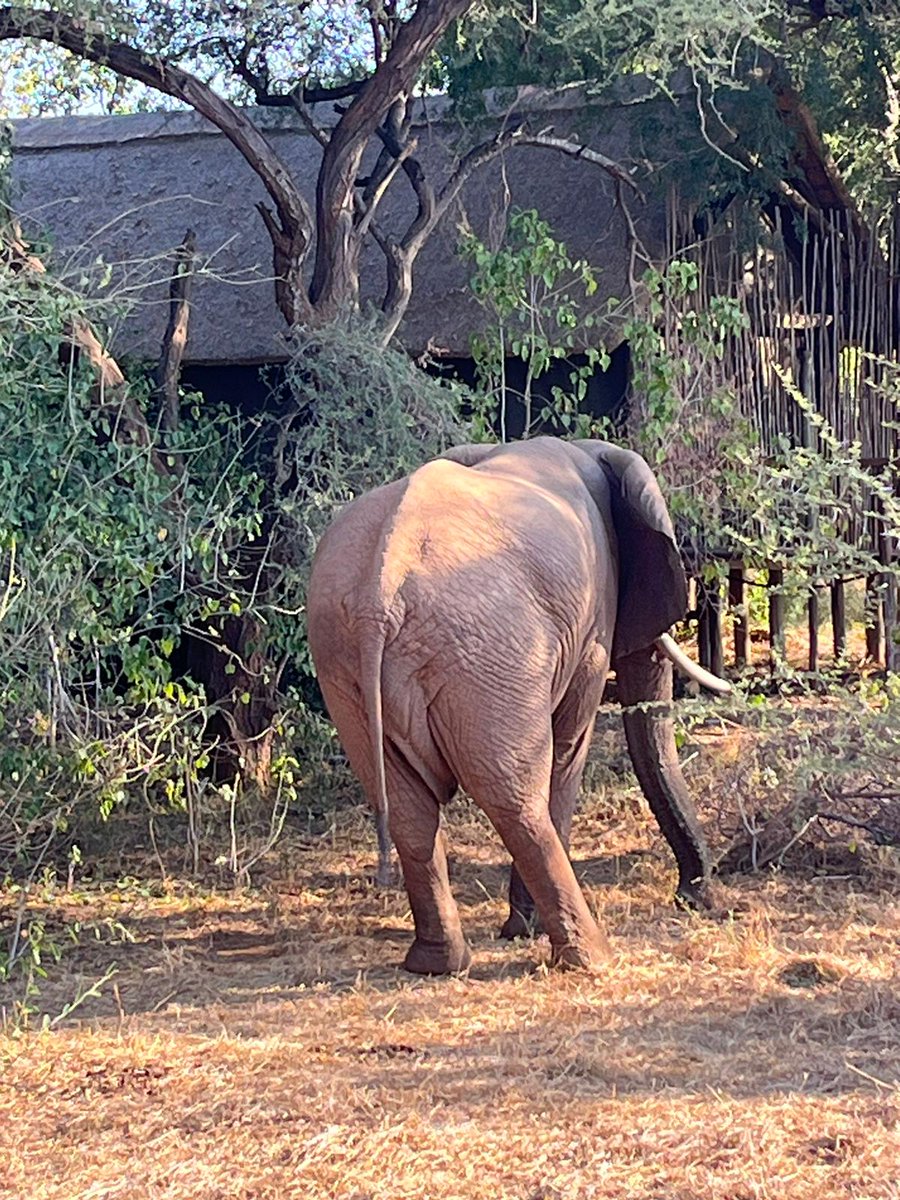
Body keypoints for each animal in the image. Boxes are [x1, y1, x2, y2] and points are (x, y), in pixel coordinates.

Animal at [307, 437, 729, 975]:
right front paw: (525, 932)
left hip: (343, 663)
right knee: (515, 798)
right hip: (489, 651)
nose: (694, 899)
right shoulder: (592, 625)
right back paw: (592, 958)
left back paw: (438, 965)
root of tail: (380, 593)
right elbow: (569, 745)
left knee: (407, 808)